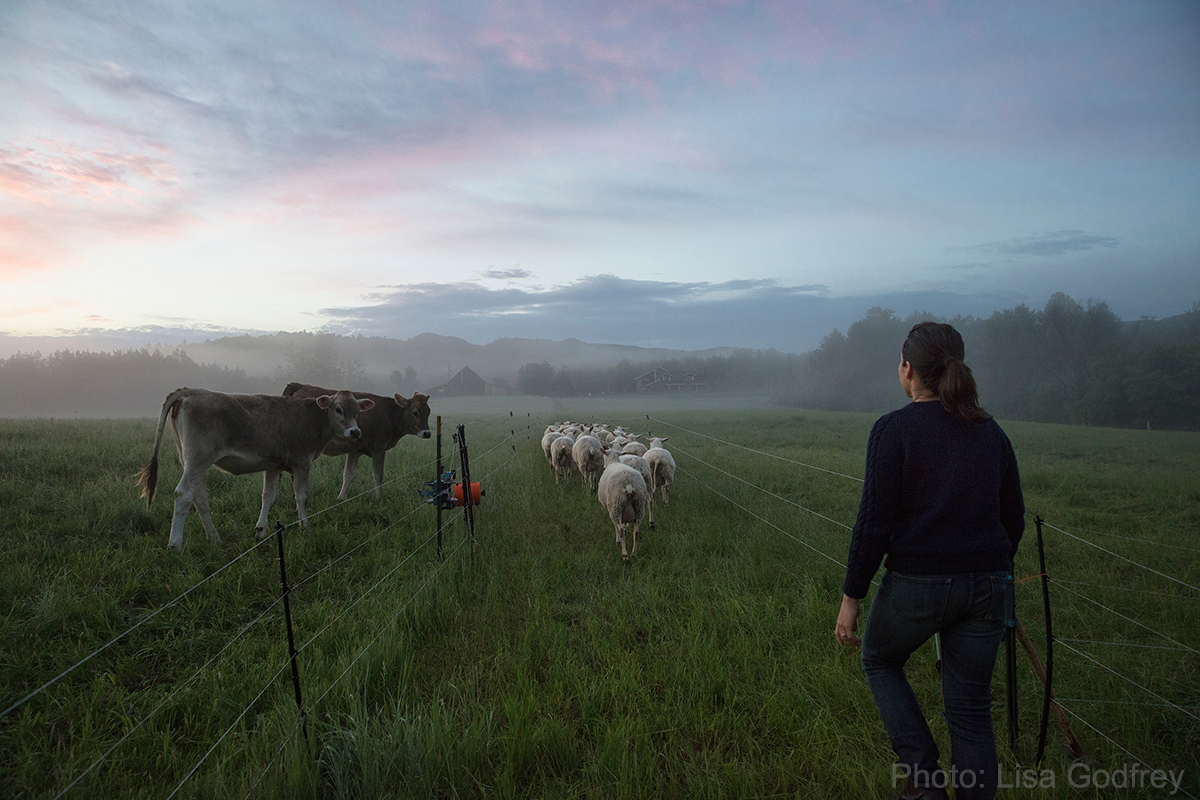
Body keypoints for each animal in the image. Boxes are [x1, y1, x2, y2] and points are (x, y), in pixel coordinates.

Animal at [136, 388, 372, 551]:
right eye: (338, 409)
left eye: (357, 411)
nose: (355, 431)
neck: (309, 417)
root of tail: (192, 392)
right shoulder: (301, 463)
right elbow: (302, 497)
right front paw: (305, 527)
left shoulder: (273, 465)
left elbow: (268, 496)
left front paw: (261, 530)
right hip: (198, 459)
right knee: (183, 494)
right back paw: (175, 544)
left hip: (192, 462)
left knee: (199, 497)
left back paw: (214, 538)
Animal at [283, 383, 434, 501]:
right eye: (415, 412)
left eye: (428, 412)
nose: (427, 433)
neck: (389, 413)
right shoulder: (379, 447)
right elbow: (378, 474)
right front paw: (378, 497)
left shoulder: (354, 450)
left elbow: (348, 474)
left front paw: (341, 498)